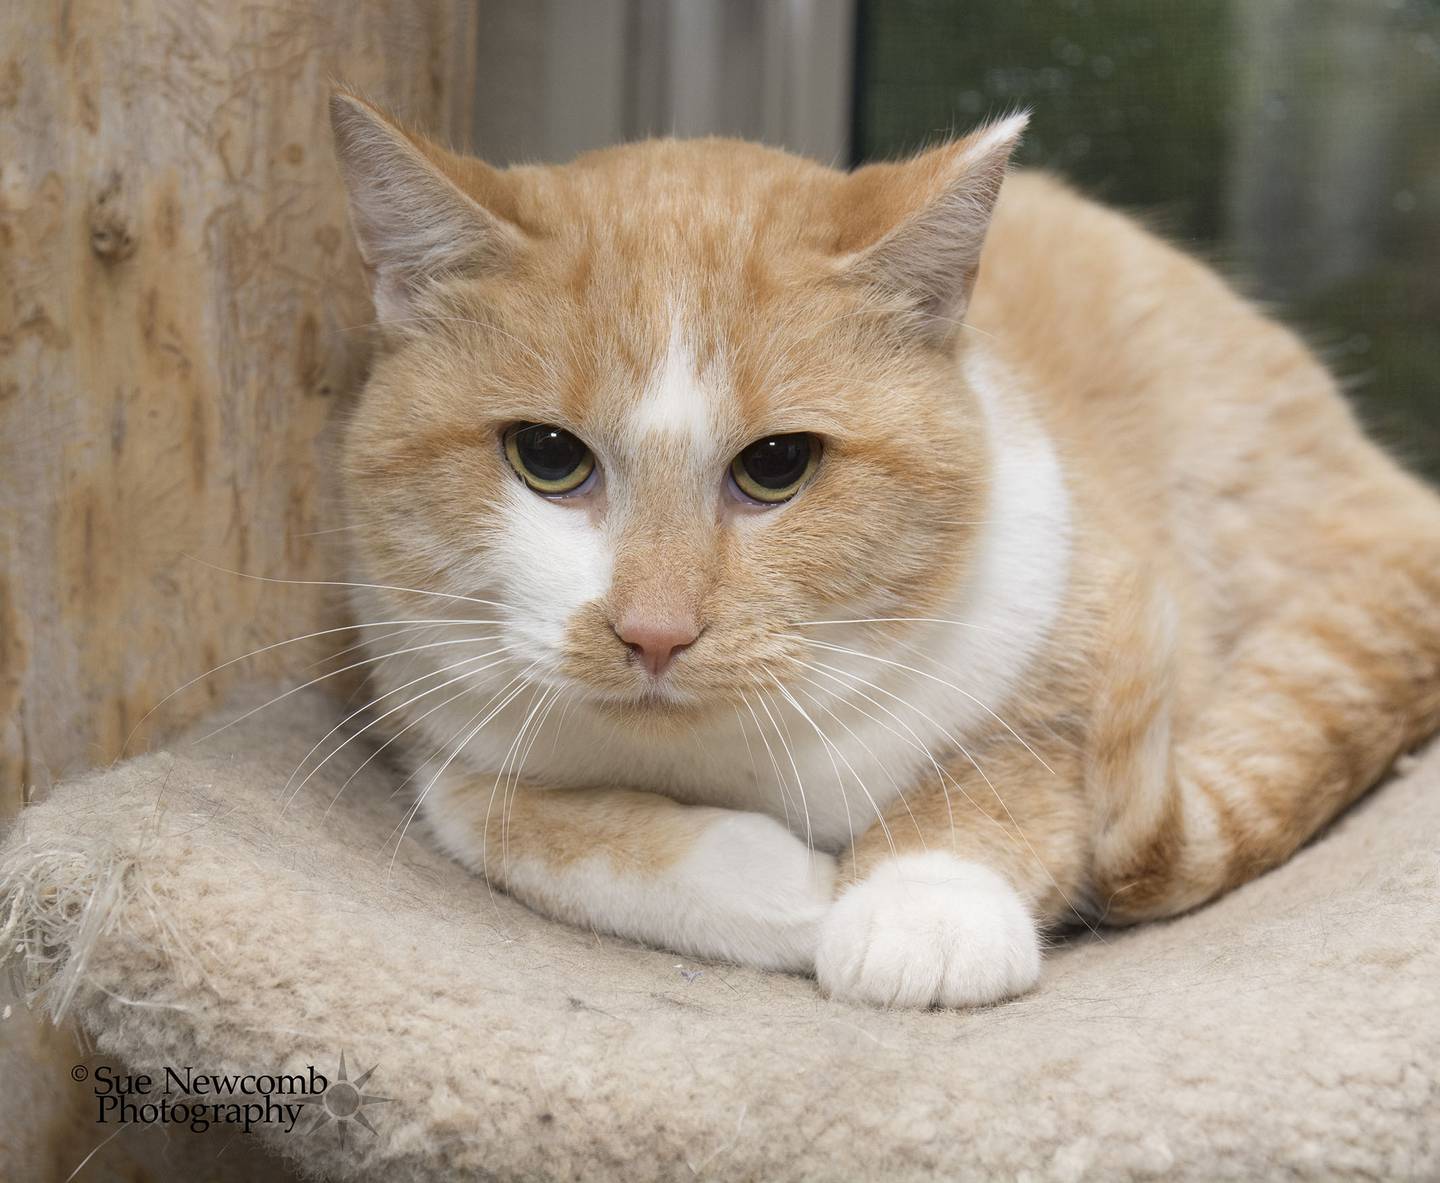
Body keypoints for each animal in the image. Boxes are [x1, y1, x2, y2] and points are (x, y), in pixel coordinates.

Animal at [326, 92, 1440, 1007]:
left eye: (779, 465)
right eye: (549, 457)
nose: (654, 633)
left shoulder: (1084, 618)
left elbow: (1005, 780)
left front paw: (921, 908)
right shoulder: (433, 727)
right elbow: (517, 823)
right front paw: (793, 887)